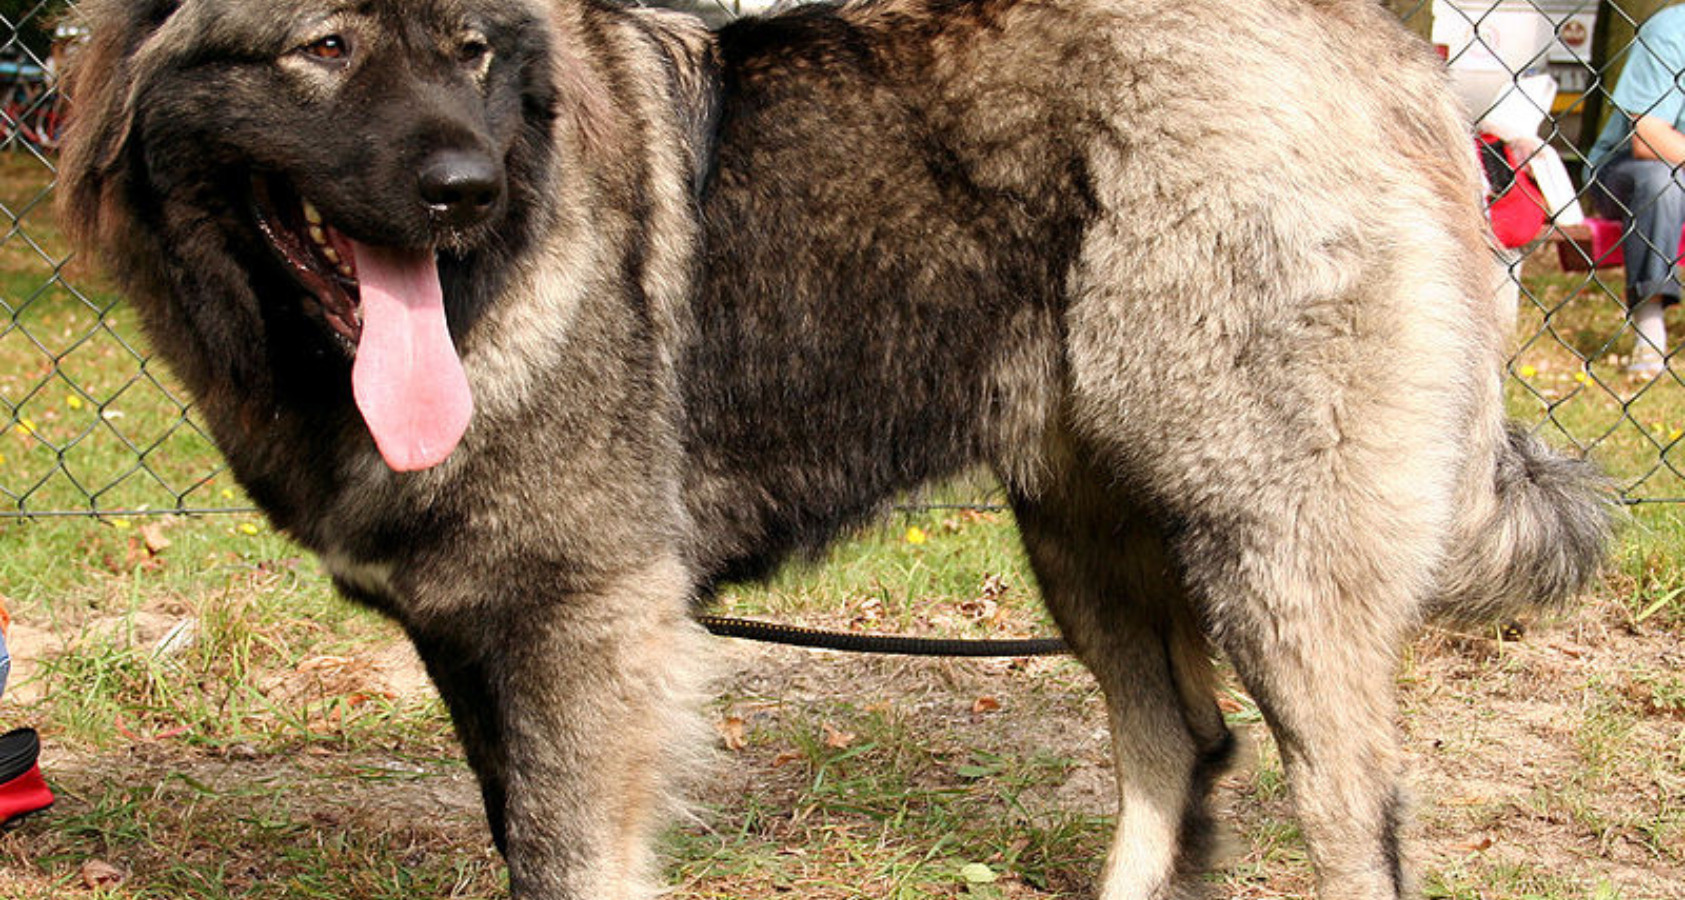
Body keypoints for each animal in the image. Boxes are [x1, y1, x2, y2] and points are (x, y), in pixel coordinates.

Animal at [59, 0, 1610, 896]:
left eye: (471, 52)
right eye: (325, 46)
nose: (470, 189)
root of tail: (1383, 55)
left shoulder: (582, 629)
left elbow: (564, 856)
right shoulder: (473, 632)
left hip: (1269, 554)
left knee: (1345, 811)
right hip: (1085, 533)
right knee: (1179, 741)